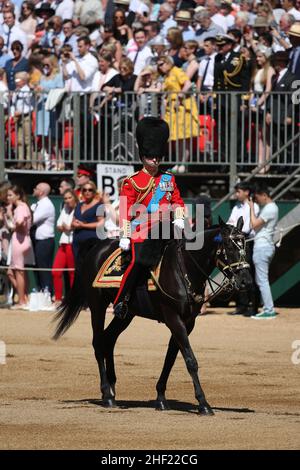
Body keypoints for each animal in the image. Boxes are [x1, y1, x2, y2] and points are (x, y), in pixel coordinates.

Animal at [53, 217, 251, 414]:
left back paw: (112, 389)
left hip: (126, 315)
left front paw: (161, 398)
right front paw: (203, 403)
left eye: (244, 245)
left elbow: (170, 358)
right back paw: (107, 394)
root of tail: (97, 246)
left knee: (109, 339)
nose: (246, 281)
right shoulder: (173, 318)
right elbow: (190, 360)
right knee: (98, 343)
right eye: (229, 246)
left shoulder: (187, 322)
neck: (184, 269)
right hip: (97, 305)